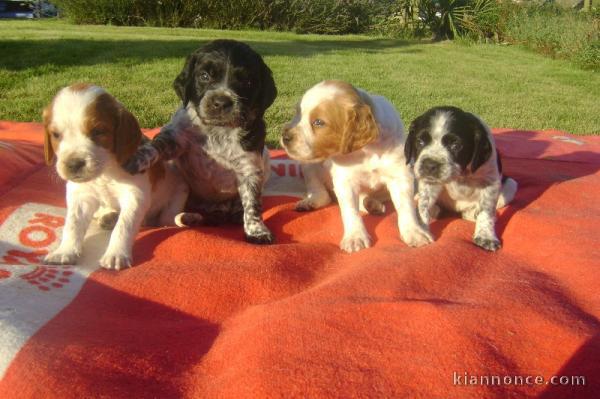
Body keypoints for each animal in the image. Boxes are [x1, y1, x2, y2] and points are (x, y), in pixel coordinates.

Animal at [42, 85, 188, 272]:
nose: (74, 164)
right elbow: (73, 224)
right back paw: (108, 217)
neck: (104, 172)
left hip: (179, 190)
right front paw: (65, 251)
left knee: (166, 218)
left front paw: (116, 254)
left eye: (98, 131)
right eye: (56, 134)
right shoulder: (80, 195)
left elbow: (124, 225)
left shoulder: (135, 195)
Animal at [126, 41, 278, 247]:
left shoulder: (249, 167)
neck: (217, 130)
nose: (221, 102)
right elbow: (156, 146)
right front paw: (138, 156)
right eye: (204, 76)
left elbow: (252, 202)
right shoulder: (176, 138)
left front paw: (257, 231)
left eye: (247, 82)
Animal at [282, 79, 432, 252]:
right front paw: (355, 237)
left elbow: (406, 207)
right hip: (309, 165)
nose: (284, 136)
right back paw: (311, 202)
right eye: (297, 113)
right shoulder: (345, 181)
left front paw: (414, 233)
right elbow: (350, 210)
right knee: (322, 193)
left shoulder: (400, 175)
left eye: (318, 122)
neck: (367, 151)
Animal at [406, 106, 516, 250]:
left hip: (511, 185)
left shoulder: (491, 182)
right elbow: (423, 206)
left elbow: (486, 211)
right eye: (420, 141)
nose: (430, 165)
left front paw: (486, 236)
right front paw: (420, 231)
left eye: (456, 146)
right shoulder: (429, 182)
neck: (461, 175)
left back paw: (472, 214)